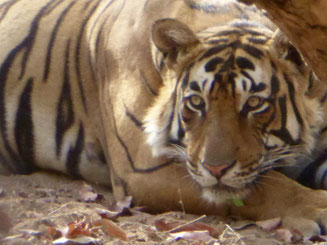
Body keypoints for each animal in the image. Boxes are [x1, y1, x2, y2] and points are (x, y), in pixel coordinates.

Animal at [1, 0, 327, 236]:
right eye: (196, 102)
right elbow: (267, 186)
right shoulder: (143, 168)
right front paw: (316, 207)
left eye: (254, 103)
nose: (216, 168)